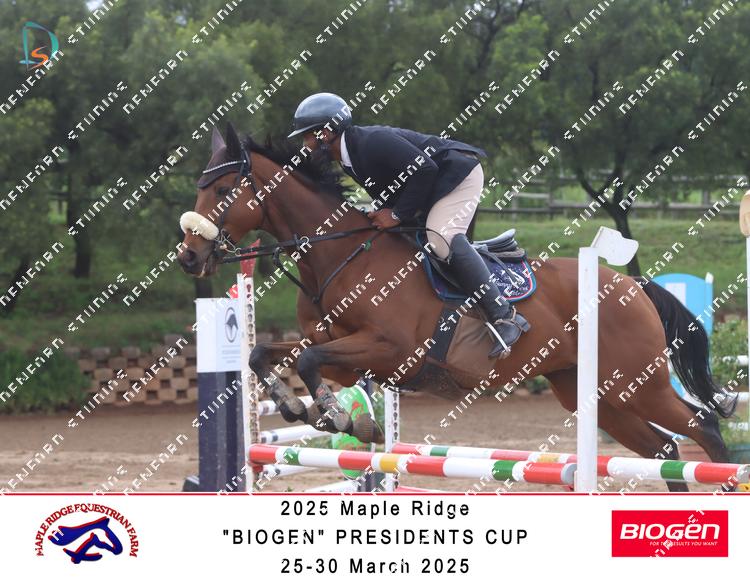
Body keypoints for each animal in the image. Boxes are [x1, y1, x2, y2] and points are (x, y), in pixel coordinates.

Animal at [178, 124, 737, 492]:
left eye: (223, 189)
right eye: (200, 186)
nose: (189, 257)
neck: (339, 256)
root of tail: (632, 285)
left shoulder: (388, 349)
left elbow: (311, 362)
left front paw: (341, 419)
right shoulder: (340, 349)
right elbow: (268, 355)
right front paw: (304, 408)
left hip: (636, 384)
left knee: (702, 428)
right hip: (594, 394)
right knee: (665, 451)